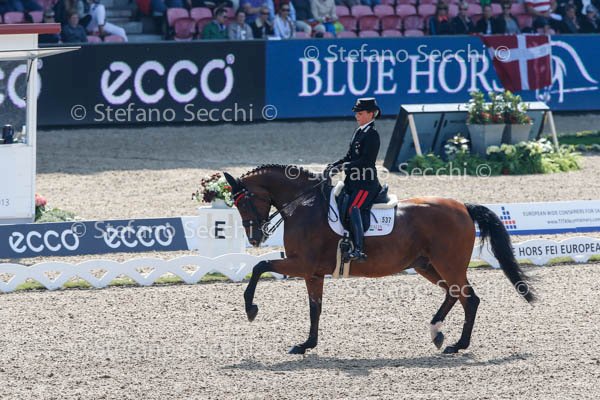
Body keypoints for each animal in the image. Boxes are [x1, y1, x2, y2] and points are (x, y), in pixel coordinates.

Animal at [223, 165, 534, 355]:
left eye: (245, 201)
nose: (255, 238)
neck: (304, 206)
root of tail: (463, 207)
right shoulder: (313, 273)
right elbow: (315, 309)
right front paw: (306, 344)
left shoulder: (303, 264)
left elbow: (259, 266)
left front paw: (251, 309)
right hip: (427, 265)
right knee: (453, 294)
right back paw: (436, 332)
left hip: (448, 264)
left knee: (469, 299)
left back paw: (458, 345)